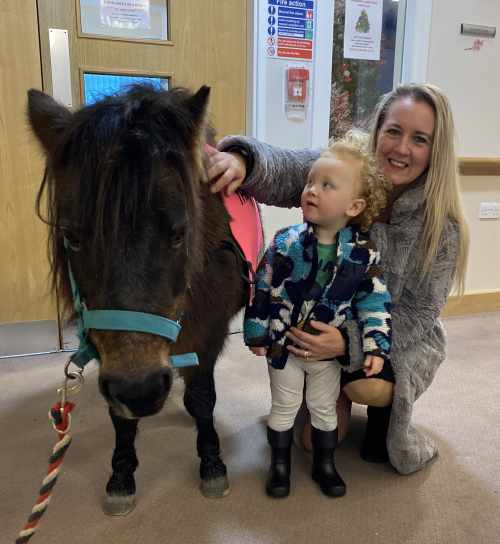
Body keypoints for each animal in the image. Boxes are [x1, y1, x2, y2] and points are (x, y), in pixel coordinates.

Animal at [26, 85, 249, 516]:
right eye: (72, 237)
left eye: (179, 232)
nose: (141, 391)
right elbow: (121, 418)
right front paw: (121, 475)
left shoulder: (209, 335)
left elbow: (203, 398)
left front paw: (212, 463)